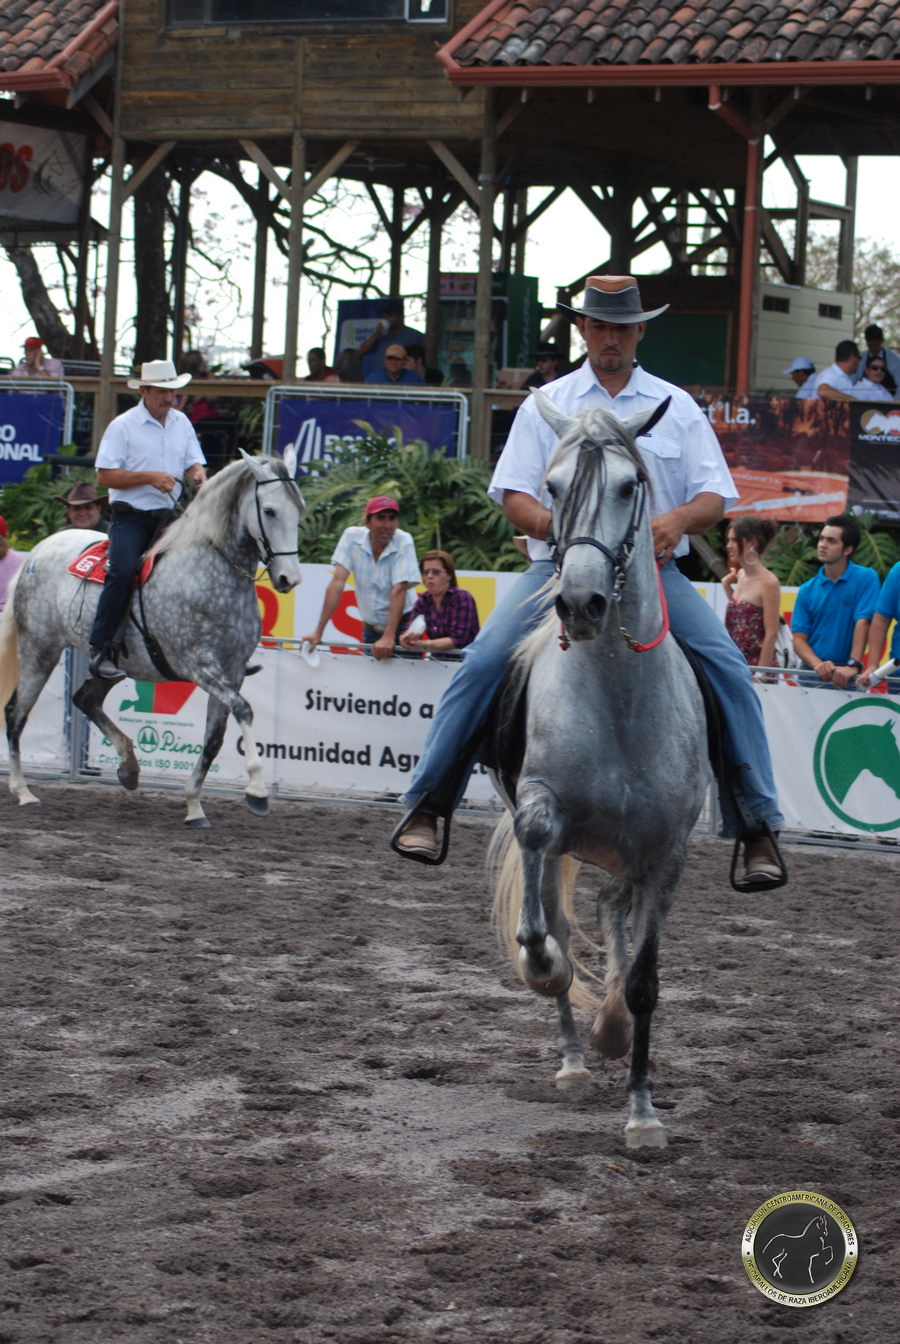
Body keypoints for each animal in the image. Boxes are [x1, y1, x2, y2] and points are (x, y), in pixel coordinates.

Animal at [0, 448, 304, 827]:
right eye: (270, 511)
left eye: (299, 510)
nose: (289, 578)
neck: (210, 572)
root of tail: (38, 551)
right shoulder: (200, 666)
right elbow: (244, 711)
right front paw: (257, 791)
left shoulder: (233, 672)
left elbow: (214, 739)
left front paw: (194, 806)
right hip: (39, 650)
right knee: (16, 712)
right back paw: (23, 791)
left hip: (113, 665)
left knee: (86, 700)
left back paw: (129, 767)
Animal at [489, 391, 708, 1149]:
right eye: (552, 487)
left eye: (628, 485)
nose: (580, 604)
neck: (619, 697)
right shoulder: (543, 811)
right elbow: (541, 930)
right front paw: (546, 969)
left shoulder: (668, 853)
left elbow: (643, 984)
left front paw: (643, 1112)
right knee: (563, 914)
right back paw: (575, 1058)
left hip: (631, 855)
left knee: (615, 909)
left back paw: (609, 1032)